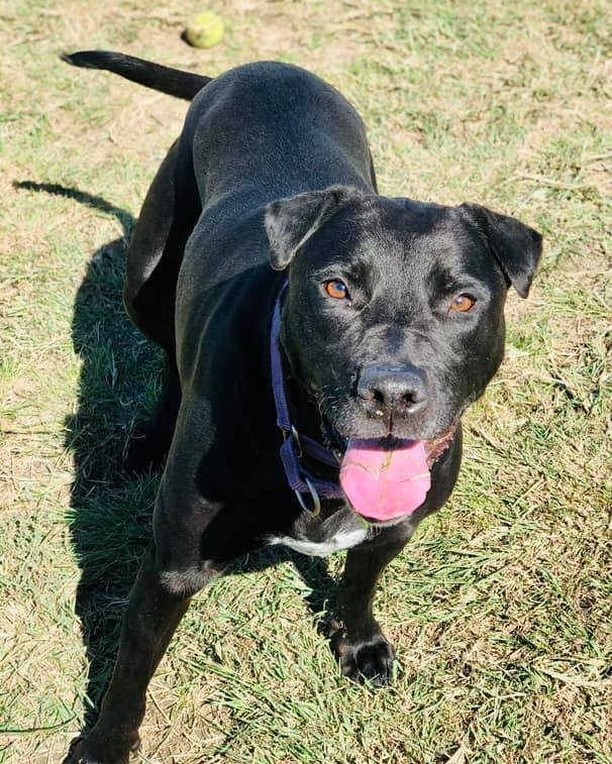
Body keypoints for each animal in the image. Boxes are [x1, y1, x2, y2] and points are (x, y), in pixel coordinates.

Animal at [61, 50, 540, 760]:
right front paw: (104, 745)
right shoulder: (171, 568)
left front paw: (359, 641)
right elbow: (132, 668)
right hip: (145, 279)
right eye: (337, 288)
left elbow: (362, 579)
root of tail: (255, 66)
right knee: (169, 350)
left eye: (462, 301)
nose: (391, 392)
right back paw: (150, 438)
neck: (312, 450)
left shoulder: (395, 527)